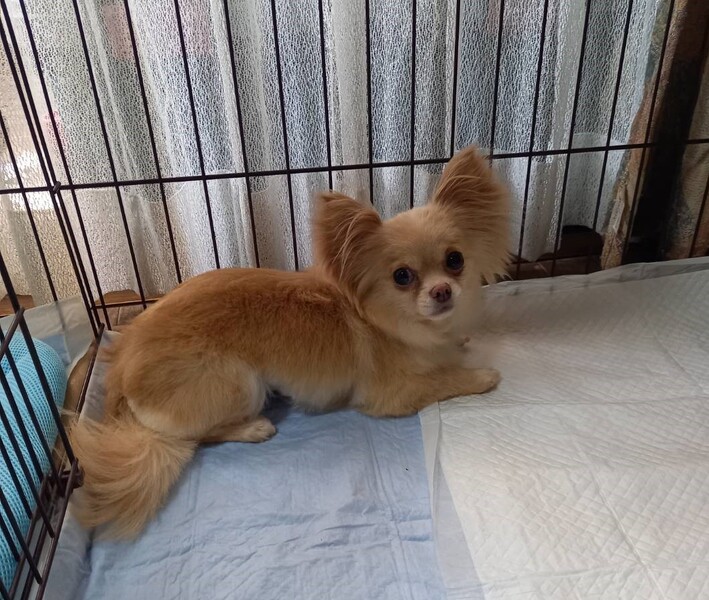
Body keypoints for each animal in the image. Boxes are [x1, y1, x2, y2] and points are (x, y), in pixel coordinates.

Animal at [70, 145, 510, 538]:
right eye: (402, 276)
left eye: (455, 260)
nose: (442, 291)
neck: (394, 320)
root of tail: (121, 368)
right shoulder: (391, 394)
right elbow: (442, 379)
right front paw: (481, 375)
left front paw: (460, 339)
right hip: (237, 382)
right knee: (193, 436)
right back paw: (251, 429)